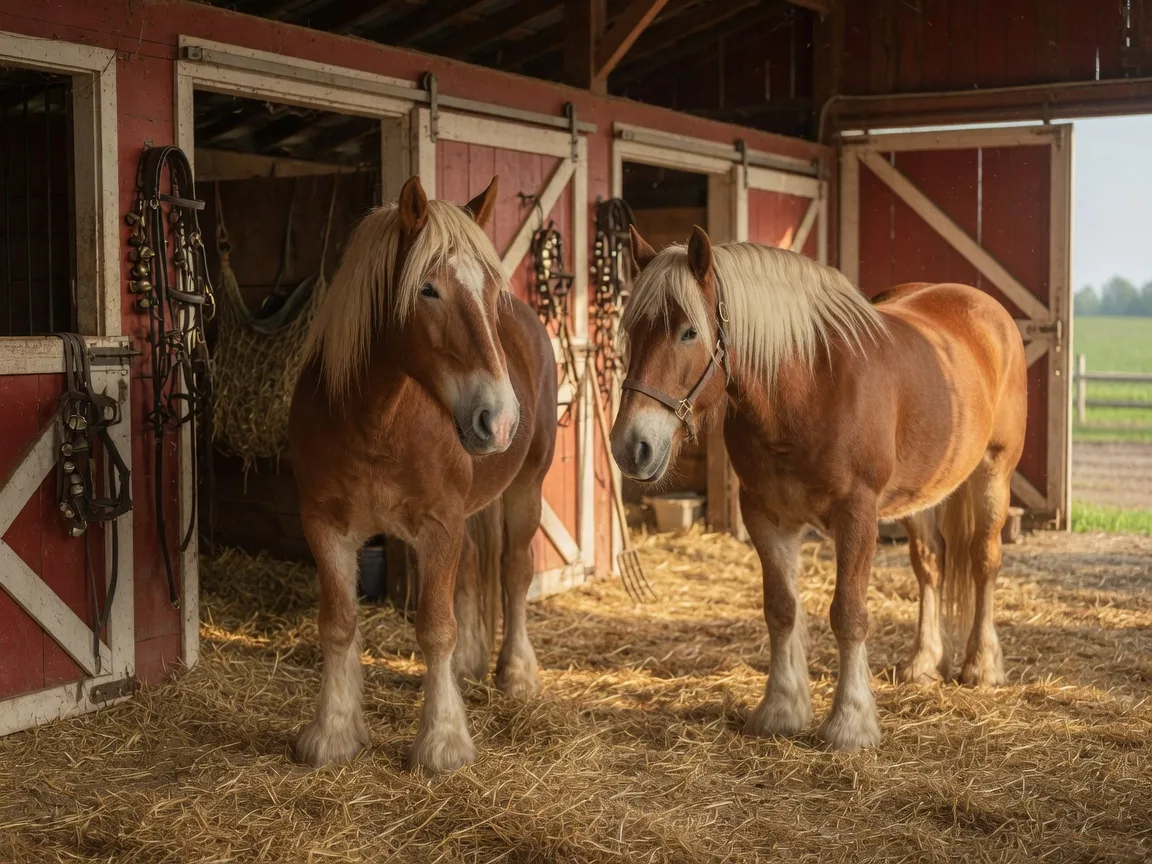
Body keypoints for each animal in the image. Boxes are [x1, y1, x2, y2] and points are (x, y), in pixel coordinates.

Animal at [287, 175, 557, 773]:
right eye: (428, 290)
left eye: (490, 293)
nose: (500, 420)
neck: (375, 420)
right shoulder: (324, 527)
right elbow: (338, 624)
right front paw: (333, 731)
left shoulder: (440, 526)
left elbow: (435, 629)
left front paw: (443, 742)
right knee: (476, 568)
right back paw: (470, 666)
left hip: (526, 490)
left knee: (514, 571)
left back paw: (516, 673)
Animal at [610, 225, 1026, 750]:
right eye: (632, 332)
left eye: (689, 331)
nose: (631, 446)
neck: (807, 386)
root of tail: (984, 307)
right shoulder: (765, 516)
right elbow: (781, 609)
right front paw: (781, 708)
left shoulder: (857, 515)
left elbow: (848, 613)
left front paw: (850, 723)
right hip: (922, 495)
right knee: (929, 565)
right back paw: (923, 663)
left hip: (994, 472)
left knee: (983, 561)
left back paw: (981, 666)